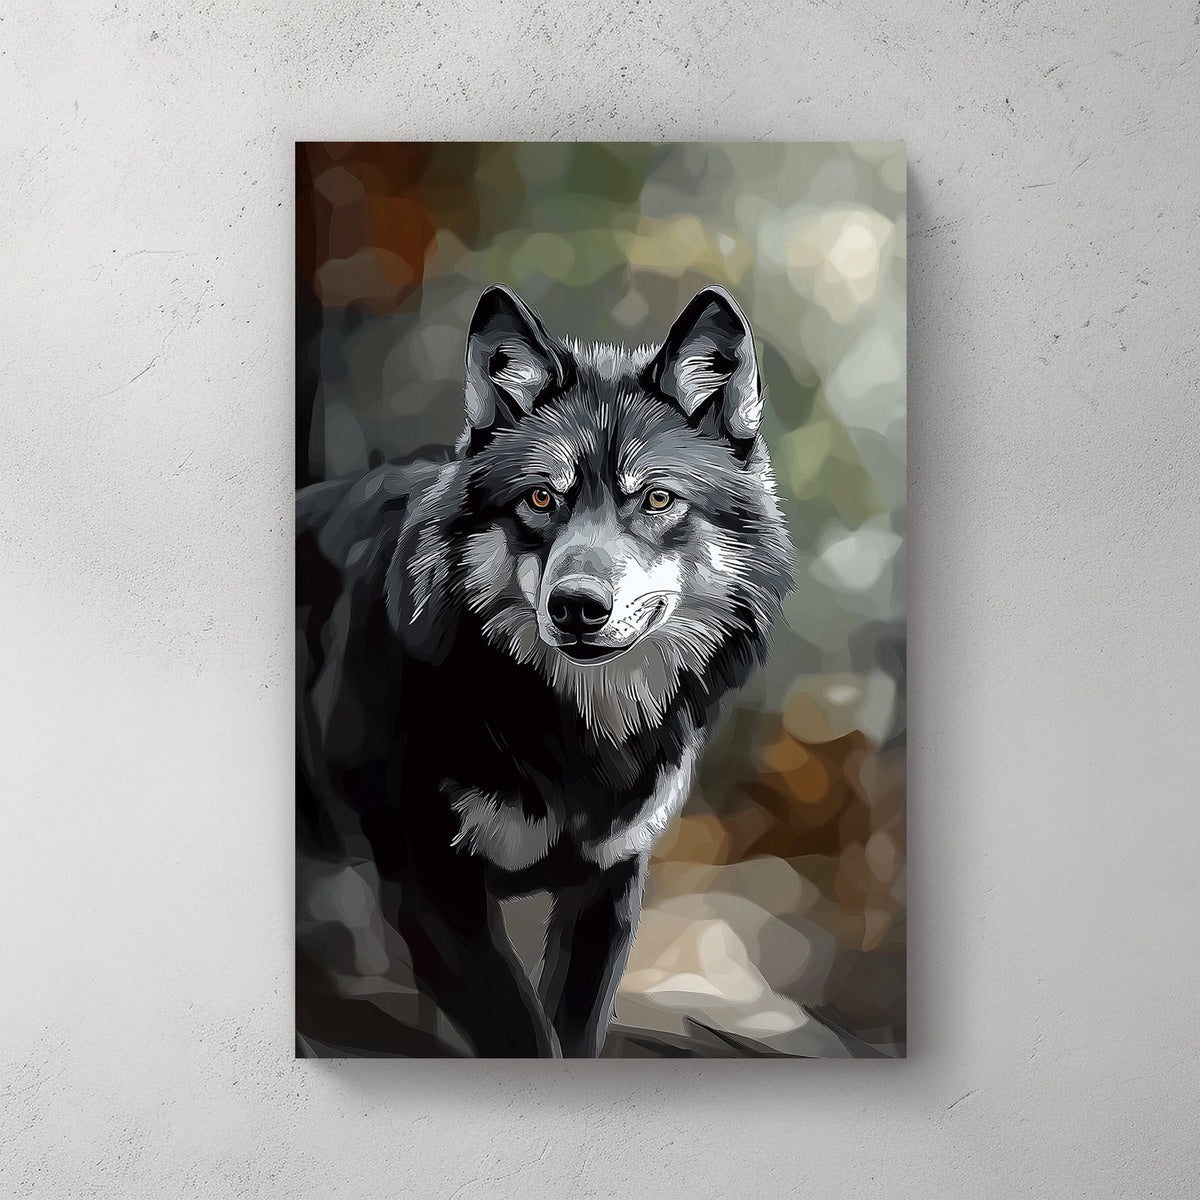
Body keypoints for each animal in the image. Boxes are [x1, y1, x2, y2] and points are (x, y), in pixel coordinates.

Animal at [296, 284, 794, 1057]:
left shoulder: (608, 885)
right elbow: (526, 1036)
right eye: (540, 498)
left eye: (656, 498)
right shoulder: (432, 892)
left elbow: (575, 1033)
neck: (573, 735)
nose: (577, 606)